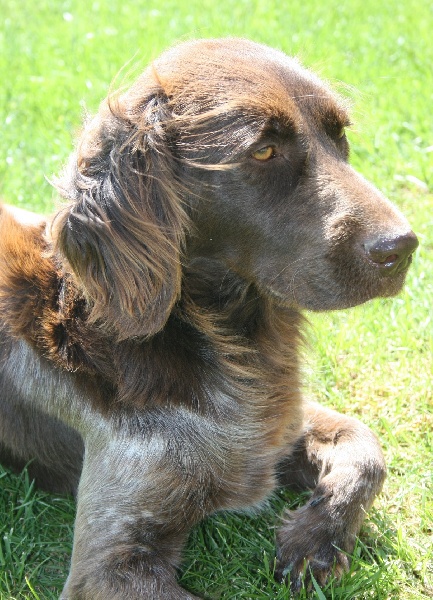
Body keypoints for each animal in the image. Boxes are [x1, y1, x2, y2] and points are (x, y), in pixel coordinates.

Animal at [0, 39, 418, 596]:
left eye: (340, 135)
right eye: (262, 151)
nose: (404, 246)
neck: (227, 338)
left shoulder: (279, 423)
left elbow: (367, 445)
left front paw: (314, 539)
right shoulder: (109, 566)